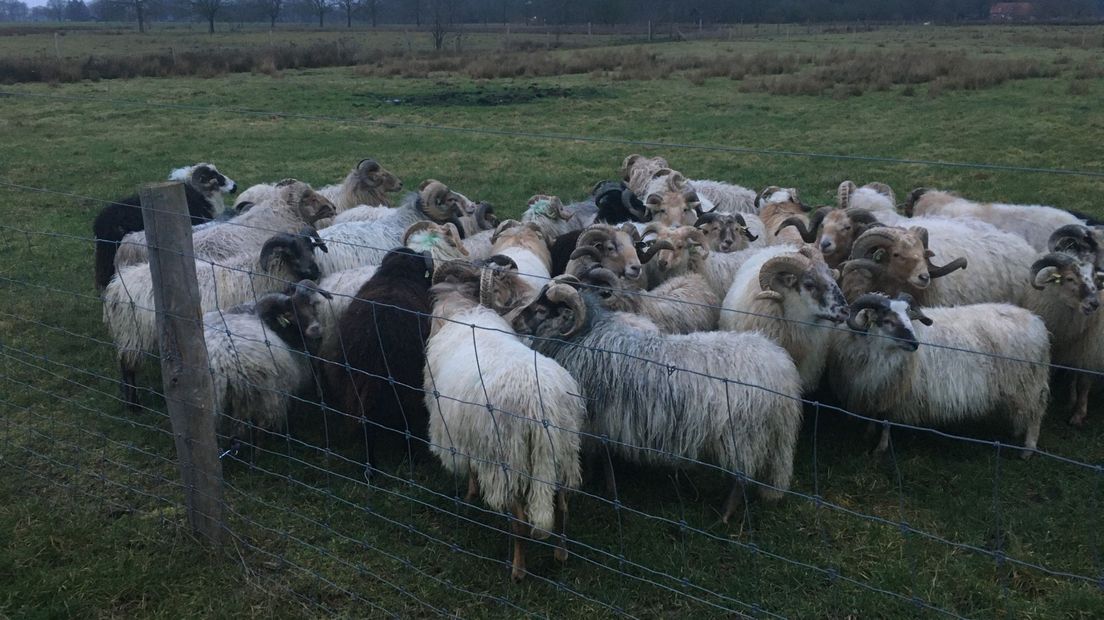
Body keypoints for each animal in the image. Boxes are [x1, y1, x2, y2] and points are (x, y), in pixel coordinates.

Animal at [419, 255, 587, 578]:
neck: (463, 309)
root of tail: (540, 404)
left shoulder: (461, 430)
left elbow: (471, 469)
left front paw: (470, 495)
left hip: (510, 458)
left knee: (519, 522)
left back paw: (518, 570)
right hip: (563, 450)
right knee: (562, 507)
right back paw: (561, 554)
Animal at [507, 272, 803, 518]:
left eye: (542, 309)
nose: (514, 321)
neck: (585, 336)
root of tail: (782, 371)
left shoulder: (597, 417)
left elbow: (598, 456)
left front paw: (601, 485)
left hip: (742, 436)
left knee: (741, 478)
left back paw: (725, 516)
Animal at [830, 291, 1051, 456]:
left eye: (909, 317)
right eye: (887, 321)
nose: (915, 344)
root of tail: (1037, 322)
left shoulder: (897, 391)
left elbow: (886, 421)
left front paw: (881, 448)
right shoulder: (876, 387)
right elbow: (874, 414)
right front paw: (869, 434)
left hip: (1029, 381)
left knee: (1036, 412)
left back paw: (1028, 449)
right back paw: (1017, 432)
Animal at [1015, 249, 1104, 423]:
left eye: (1096, 280)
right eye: (1069, 278)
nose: (1094, 304)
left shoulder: (1091, 350)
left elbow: (1084, 382)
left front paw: (1079, 414)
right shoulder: (1069, 348)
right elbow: (1071, 375)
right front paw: (1071, 401)